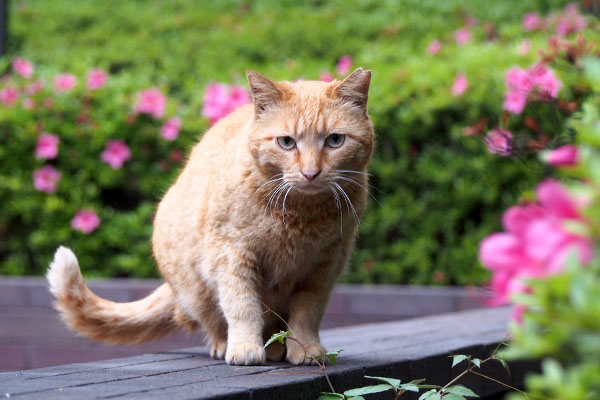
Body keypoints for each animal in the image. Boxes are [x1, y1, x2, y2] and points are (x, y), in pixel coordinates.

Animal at [48, 67, 376, 364]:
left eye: (335, 140)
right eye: (286, 142)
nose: (310, 172)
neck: (299, 216)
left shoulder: (323, 268)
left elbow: (307, 315)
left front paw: (307, 350)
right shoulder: (231, 256)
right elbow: (242, 307)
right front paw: (245, 349)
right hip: (196, 288)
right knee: (214, 322)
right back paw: (231, 346)